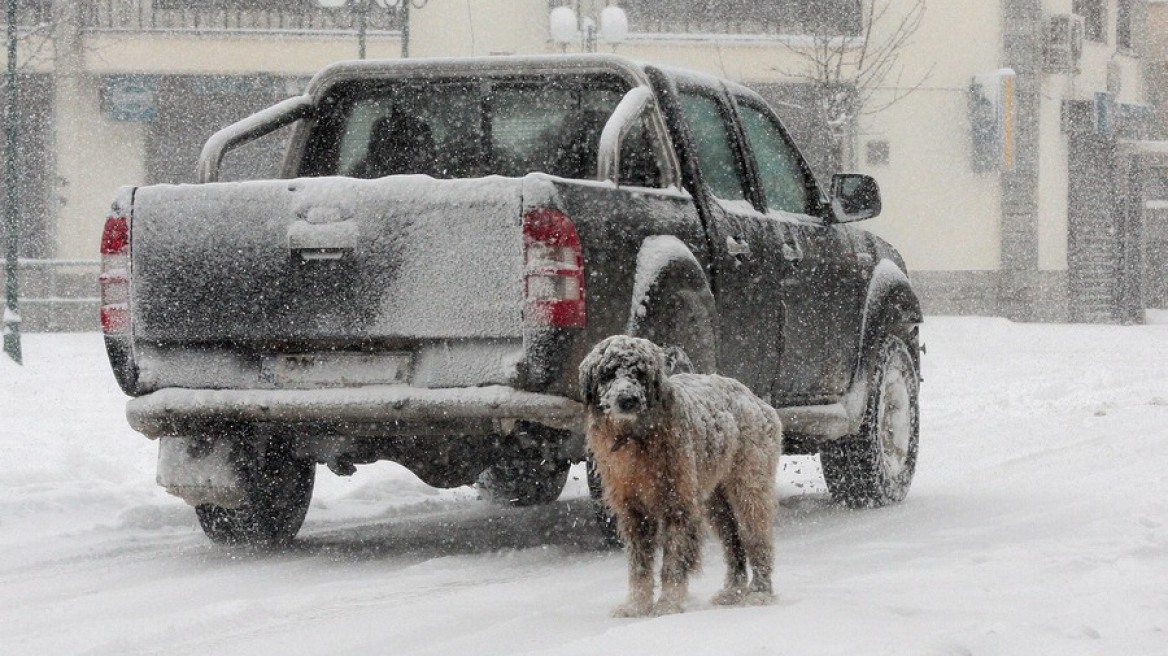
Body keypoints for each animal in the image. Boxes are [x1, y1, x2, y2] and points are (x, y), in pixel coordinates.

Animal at [576, 333, 780, 616]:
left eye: (639, 373)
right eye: (608, 373)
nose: (628, 400)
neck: (636, 438)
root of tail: (753, 397)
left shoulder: (678, 505)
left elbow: (673, 562)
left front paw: (668, 604)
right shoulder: (633, 511)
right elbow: (639, 566)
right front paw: (636, 605)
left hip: (749, 487)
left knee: (757, 539)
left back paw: (760, 592)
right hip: (715, 503)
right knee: (734, 542)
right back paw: (733, 591)